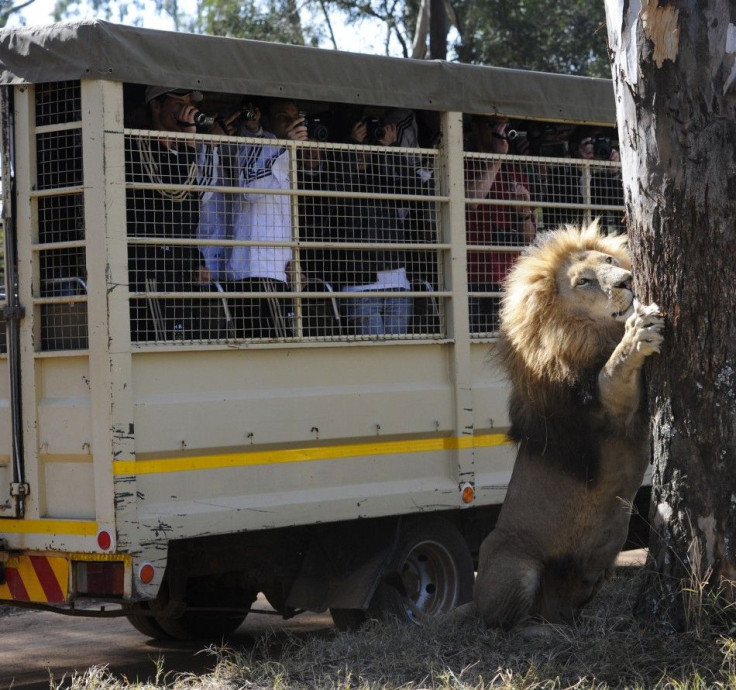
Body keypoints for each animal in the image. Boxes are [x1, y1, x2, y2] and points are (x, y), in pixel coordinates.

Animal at [472, 220, 668, 628]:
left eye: (609, 260)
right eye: (585, 282)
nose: (627, 280)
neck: (589, 333)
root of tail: (473, 600)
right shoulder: (603, 406)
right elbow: (616, 367)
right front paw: (638, 332)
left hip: (590, 579)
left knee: (555, 612)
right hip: (514, 565)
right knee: (506, 625)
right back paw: (539, 632)